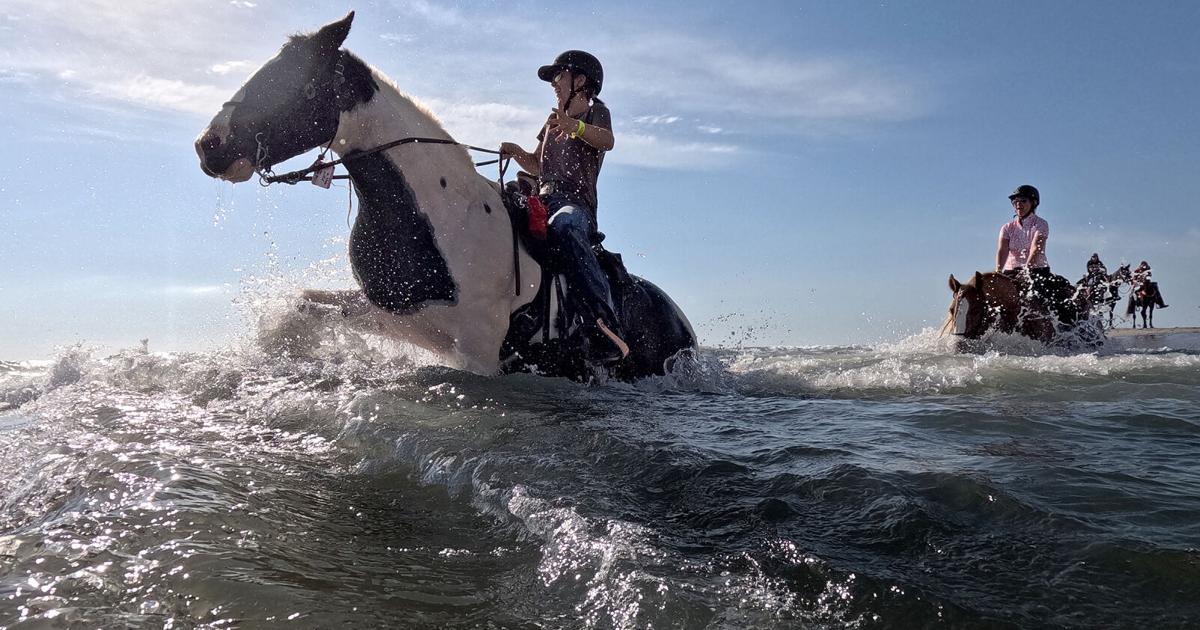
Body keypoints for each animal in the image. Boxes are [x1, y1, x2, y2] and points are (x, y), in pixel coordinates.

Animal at [194, 13, 695, 381]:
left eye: (295, 81)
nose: (209, 145)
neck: (442, 214)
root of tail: (679, 320)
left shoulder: (478, 350)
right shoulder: (398, 313)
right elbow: (304, 309)